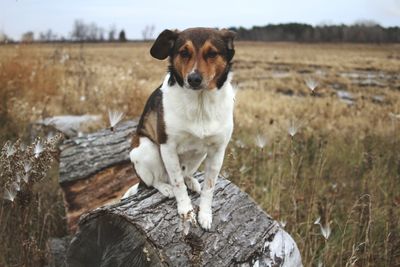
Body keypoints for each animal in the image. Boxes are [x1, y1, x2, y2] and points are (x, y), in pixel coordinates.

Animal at [123, 28, 236, 231]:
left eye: (212, 53)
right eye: (184, 52)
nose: (193, 79)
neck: (200, 103)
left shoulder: (218, 151)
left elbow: (209, 187)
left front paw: (205, 214)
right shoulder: (167, 147)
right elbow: (177, 183)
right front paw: (186, 210)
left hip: (199, 155)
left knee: (186, 173)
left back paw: (191, 181)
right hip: (146, 149)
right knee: (154, 181)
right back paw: (165, 187)